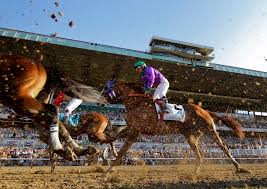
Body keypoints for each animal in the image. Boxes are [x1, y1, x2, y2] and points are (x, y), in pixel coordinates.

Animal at [104, 80, 251, 174]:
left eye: (108, 86)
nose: (104, 96)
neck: (137, 103)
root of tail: (204, 110)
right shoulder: (130, 127)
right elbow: (112, 137)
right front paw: (107, 149)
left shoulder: (135, 130)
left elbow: (122, 150)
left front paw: (109, 170)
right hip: (191, 136)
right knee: (200, 154)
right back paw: (195, 171)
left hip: (210, 129)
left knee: (224, 147)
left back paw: (239, 168)